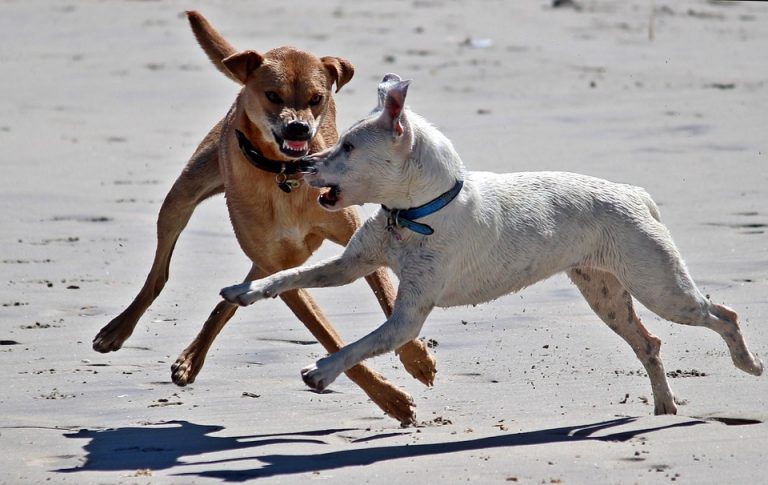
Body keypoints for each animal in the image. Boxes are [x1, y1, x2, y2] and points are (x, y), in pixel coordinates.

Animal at [93, 9, 436, 422]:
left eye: (317, 99)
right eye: (273, 95)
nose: (298, 127)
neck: (284, 176)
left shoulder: (349, 240)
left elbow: (385, 295)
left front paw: (416, 358)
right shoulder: (281, 267)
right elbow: (328, 336)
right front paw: (391, 399)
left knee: (234, 292)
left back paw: (192, 355)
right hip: (184, 195)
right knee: (159, 273)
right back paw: (120, 329)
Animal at [222, 73, 760, 414]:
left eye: (348, 147)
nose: (301, 165)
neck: (417, 213)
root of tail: (635, 193)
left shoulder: (406, 319)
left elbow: (359, 346)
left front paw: (323, 372)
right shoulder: (352, 265)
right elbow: (288, 275)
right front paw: (244, 291)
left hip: (661, 288)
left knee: (723, 314)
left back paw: (747, 364)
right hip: (606, 296)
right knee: (649, 342)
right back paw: (665, 406)